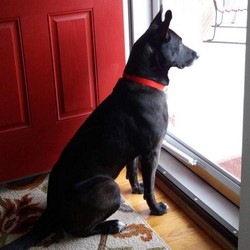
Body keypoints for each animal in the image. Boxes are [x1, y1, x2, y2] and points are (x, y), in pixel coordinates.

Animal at [1, 6, 197, 249]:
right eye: (180, 43)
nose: (197, 54)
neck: (142, 80)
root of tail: (51, 208)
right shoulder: (152, 150)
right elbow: (151, 184)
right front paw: (156, 208)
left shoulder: (136, 150)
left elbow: (132, 169)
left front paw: (136, 188)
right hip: (109, 188)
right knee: (77, 230)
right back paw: (113, 225)